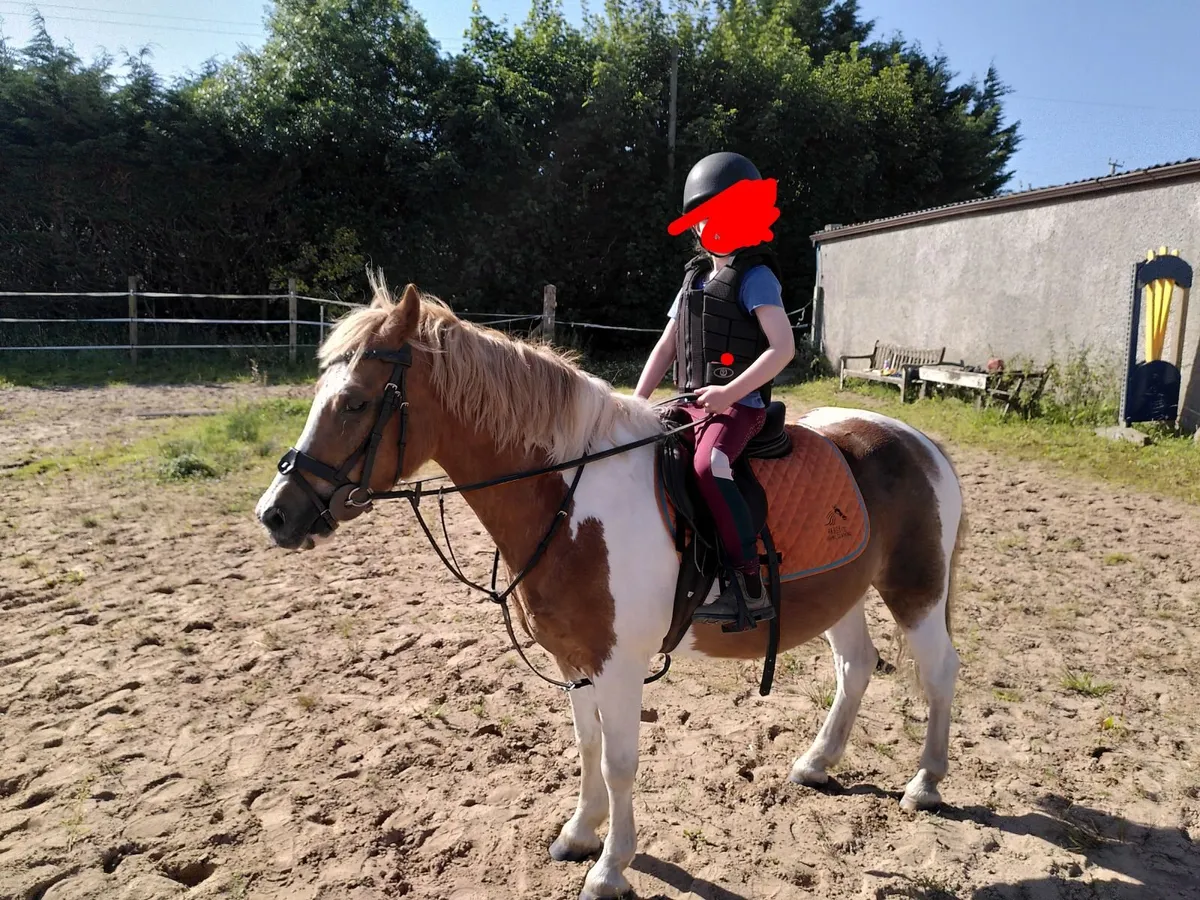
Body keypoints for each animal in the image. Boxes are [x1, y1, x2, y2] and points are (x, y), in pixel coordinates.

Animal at [254, 275, 967, 900]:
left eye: (354, 401)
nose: (276, 514)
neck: (570, 500)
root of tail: (919, 441)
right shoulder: (574, 658)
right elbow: (587, 745)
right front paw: (579, 832)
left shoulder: (619, 663)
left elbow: (620, 760)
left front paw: (611, 867)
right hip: (841, 595)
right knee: (856, 666)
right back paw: (817, 763)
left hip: (916, 589)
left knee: (939, 672)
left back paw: (926, 783)